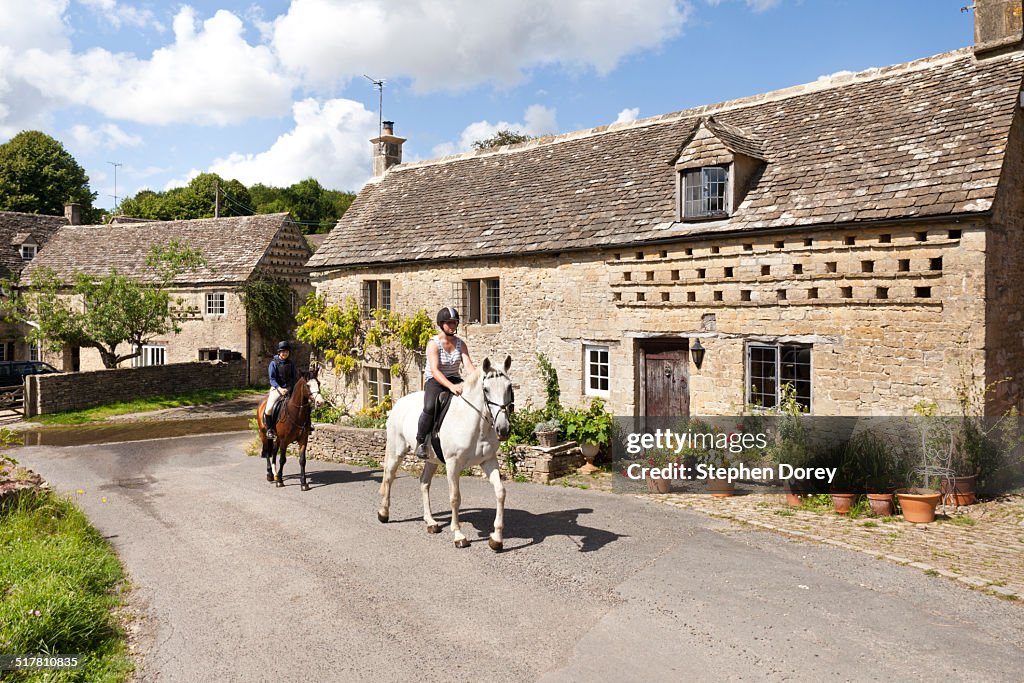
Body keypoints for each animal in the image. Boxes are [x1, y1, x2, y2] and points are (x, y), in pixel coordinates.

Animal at [378, 356, 516, 552]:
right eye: (486, 389)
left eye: (509, 387)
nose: (503, 429)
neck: (475, 423)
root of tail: (399, 402)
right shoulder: (453, 464)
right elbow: (455, 498)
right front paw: (459, 536)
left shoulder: (488, 461)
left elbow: (500, 492)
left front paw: (496, 539)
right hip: (397, 450)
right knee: (389, 477)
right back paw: (383, 513)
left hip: (431, 459)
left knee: (424, 483)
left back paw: (430, 522)